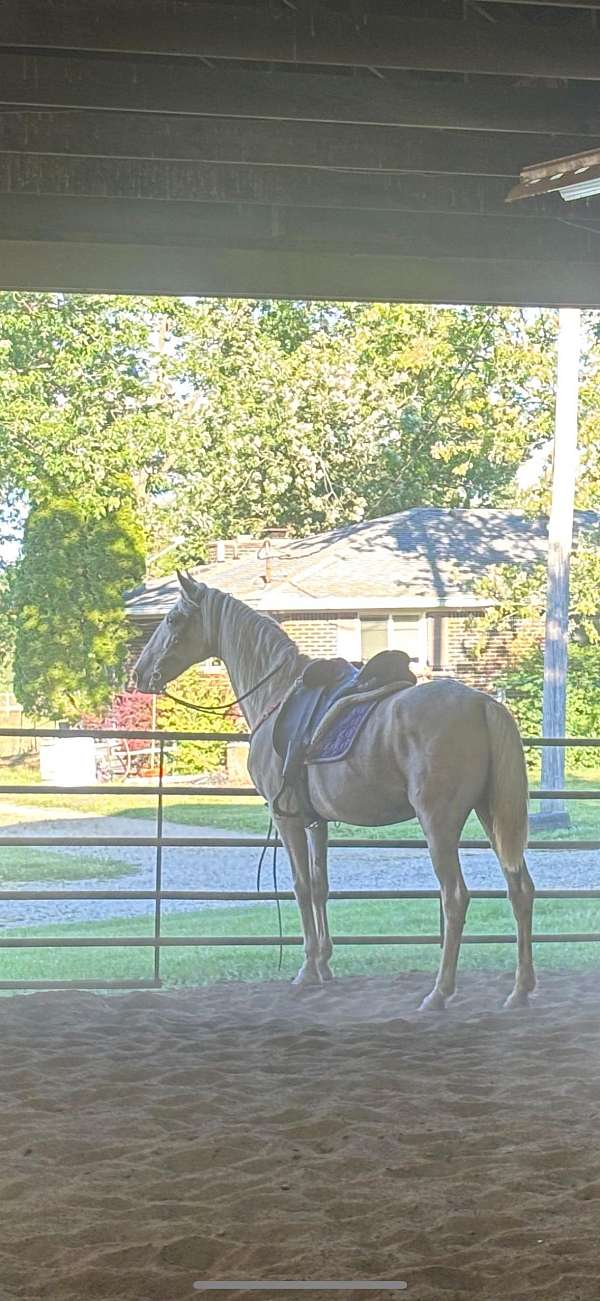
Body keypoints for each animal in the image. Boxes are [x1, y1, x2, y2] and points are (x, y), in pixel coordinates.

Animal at [133, 574, 535, 1010]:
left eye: (173, 619)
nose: (139, 673)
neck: (276, 695)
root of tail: (481, 703)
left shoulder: (287, 818)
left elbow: (301, 887)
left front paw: (307, 969)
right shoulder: (316, 822)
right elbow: (320, 885)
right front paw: (324, 965)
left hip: (439, 823)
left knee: (455, 897)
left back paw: (439, 992)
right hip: (491, 815)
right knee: (520, 890)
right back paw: (520, 990)